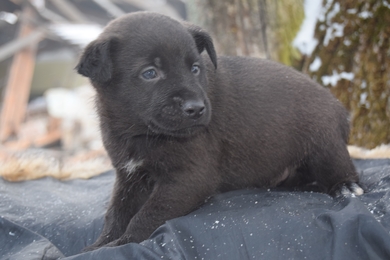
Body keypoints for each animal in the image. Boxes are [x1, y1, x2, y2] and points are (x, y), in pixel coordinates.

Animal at [76, 11, 362, 249]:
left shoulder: (189, 178)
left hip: (323, 141)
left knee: (340, 166)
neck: (138, 132)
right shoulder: (129, 177)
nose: (196, 108)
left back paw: (346, 186)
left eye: (195, 68)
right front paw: (98, 245)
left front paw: (122, 243)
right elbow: (116, 214)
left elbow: (146, 214)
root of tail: (339, 108)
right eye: (149, 73)